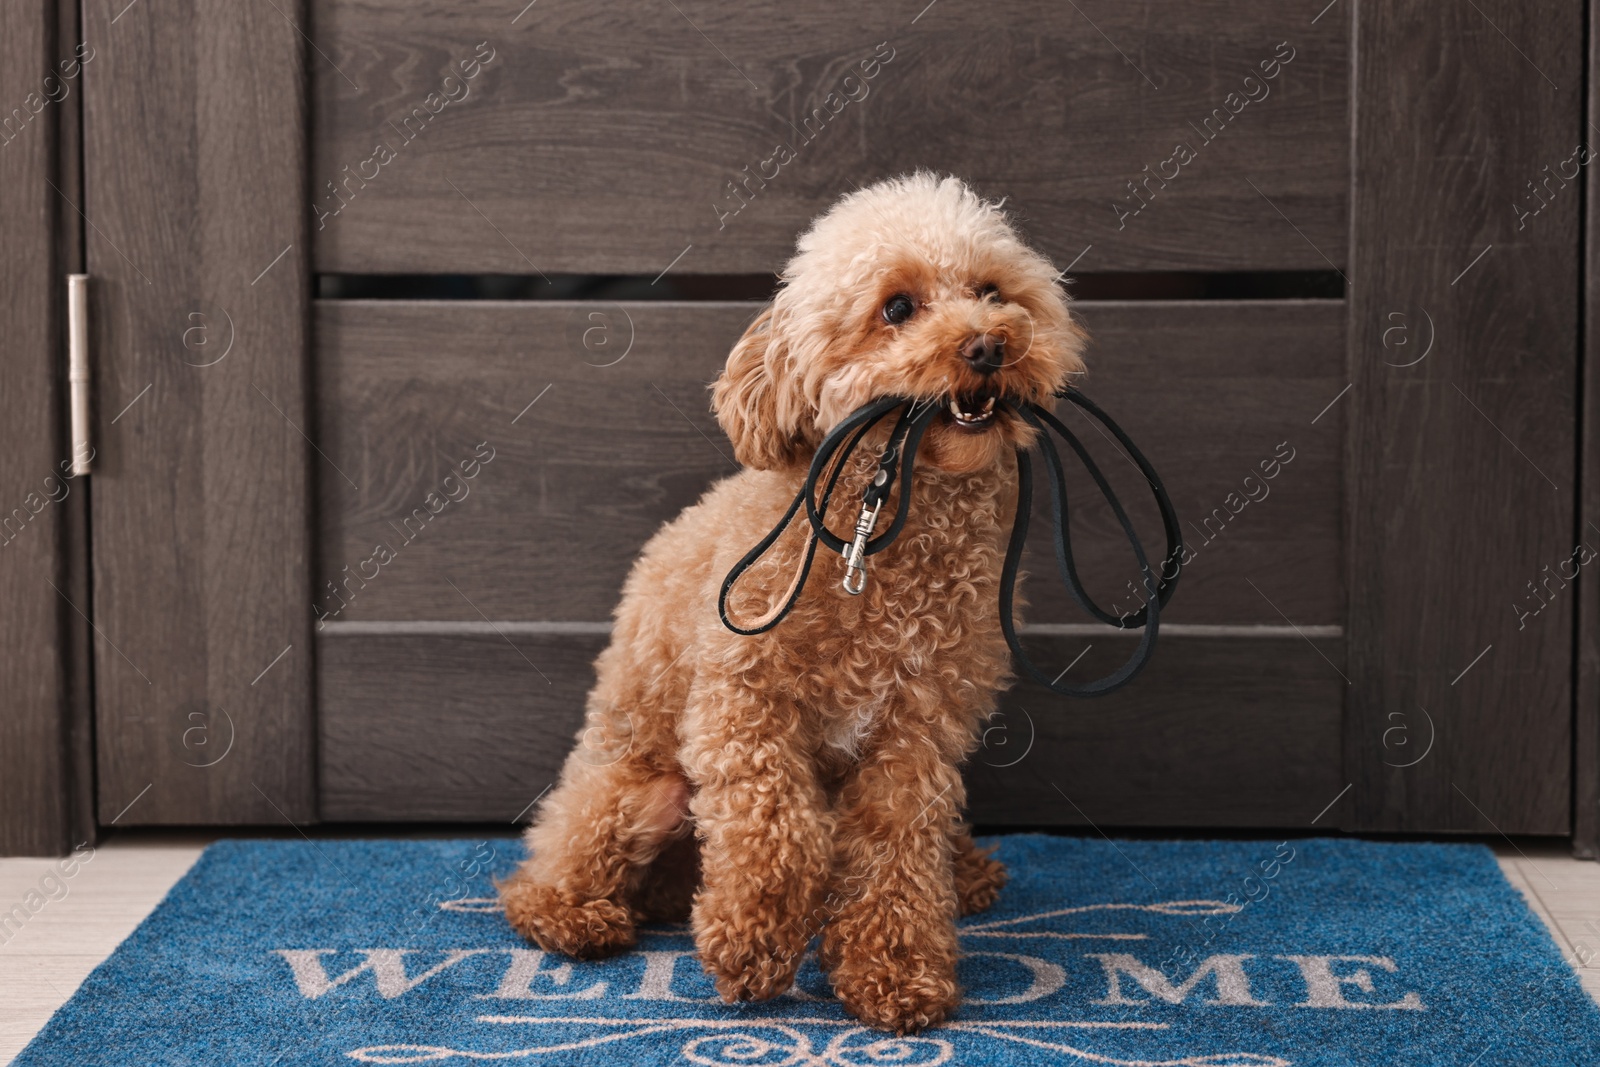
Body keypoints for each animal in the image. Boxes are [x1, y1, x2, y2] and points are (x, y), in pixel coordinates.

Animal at [499, 173, 1088, 1036]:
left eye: (991, 292)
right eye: (897, 307)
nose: (990, 345)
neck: (882, 536)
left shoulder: (919, 728)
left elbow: (897, 848)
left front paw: (894, 969)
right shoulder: (744, 702)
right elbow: (776, 825)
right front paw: (753, 941)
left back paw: (966, 870)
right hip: (638, 789)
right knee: (548, 868)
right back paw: (574, 917)